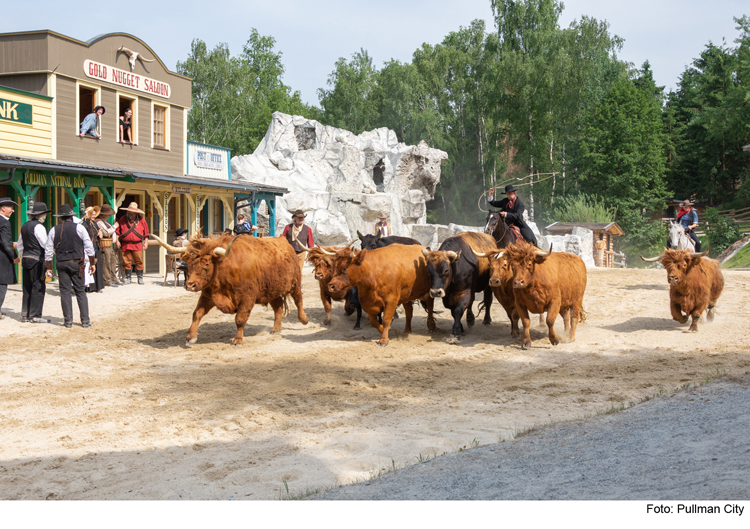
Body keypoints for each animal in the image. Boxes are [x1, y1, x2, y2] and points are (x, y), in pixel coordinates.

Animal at [151, 233, 306, 344]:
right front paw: (191, 337)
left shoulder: (247, 298)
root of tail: (284, 242)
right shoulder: (207, 296)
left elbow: (240, 319)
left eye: (206, 264)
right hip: (271, 290)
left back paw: (303, 319)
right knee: (278, 306)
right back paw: (276, 329)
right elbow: (197, 314)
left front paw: (238, 340)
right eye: (189, 263)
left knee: (298, 300)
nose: (190, 285)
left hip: (295, 283)